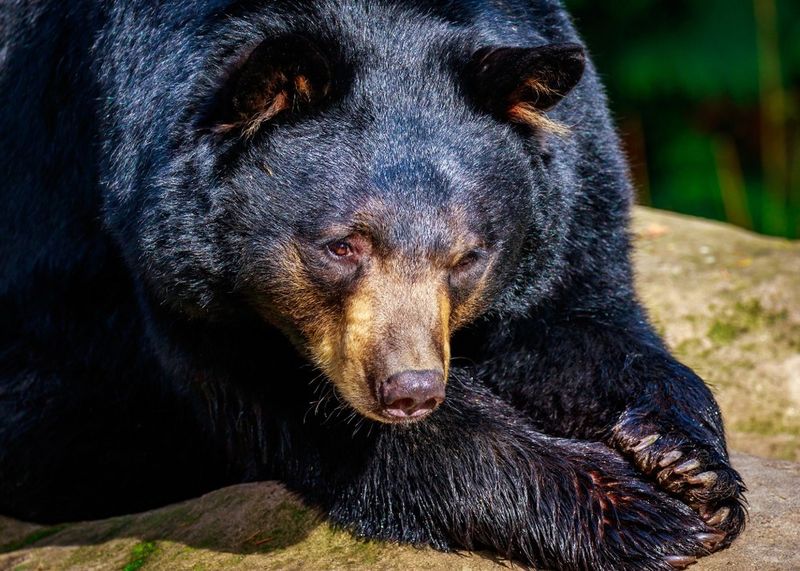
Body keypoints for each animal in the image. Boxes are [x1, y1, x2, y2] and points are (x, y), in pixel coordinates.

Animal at [0, 1, 746, 569]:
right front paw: (641, 513)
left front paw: (688, 465)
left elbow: (579, 317)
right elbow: (324, 419)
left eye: (467, 257)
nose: (409, 389)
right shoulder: (166, 255)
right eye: (342, 246)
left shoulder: (575, 184)